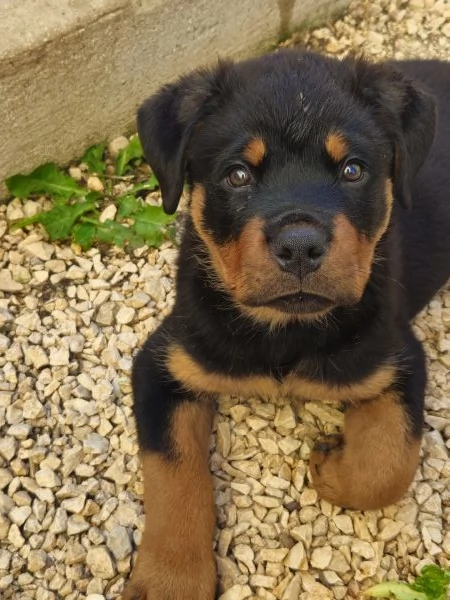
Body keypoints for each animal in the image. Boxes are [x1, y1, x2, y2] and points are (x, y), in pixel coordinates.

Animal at [122, 49, 450, 596]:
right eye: (237, 175)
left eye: (353, 169)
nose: (299, 246)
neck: (285, 329)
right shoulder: (164, 362)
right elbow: (174, 473)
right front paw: (172, 578)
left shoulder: (395, 359)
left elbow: (387, 463)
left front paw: (331, 467)